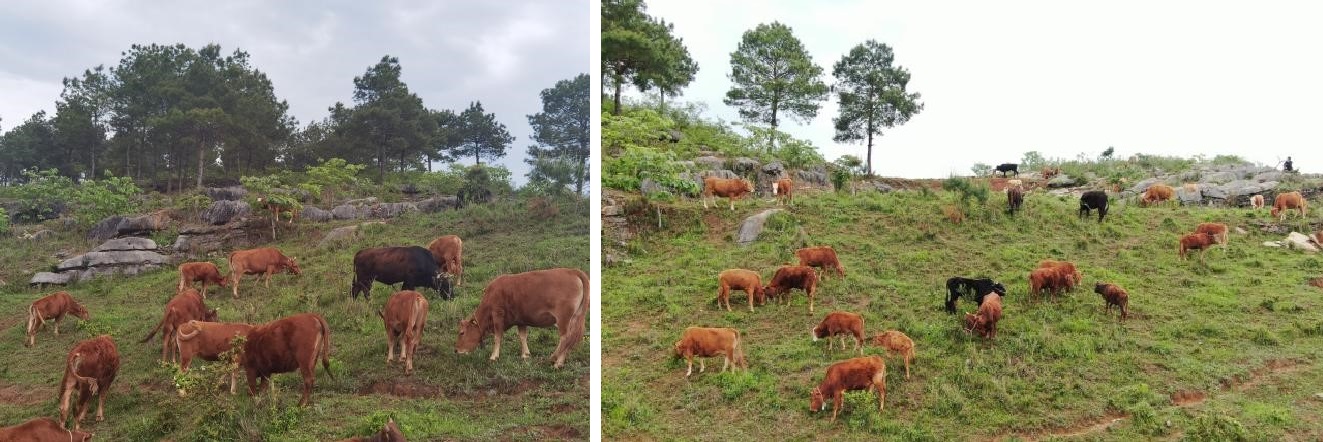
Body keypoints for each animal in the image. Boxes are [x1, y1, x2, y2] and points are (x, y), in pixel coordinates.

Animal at [455, 268, 589, 368]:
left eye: (461, 332)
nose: (456, 350)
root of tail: (572, 271)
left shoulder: (497, 314)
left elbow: (497, 337)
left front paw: (494, 356)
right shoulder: (520, 320)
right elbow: (522, 336)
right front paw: (525, 355)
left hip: (563, 318)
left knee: (565, 338)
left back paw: (556, 361)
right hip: (575, 317)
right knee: (570, 338)